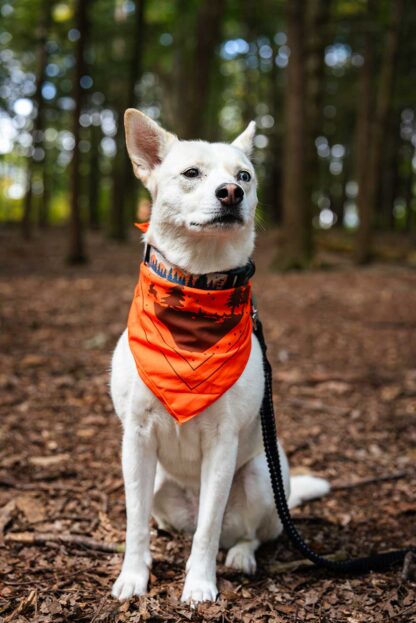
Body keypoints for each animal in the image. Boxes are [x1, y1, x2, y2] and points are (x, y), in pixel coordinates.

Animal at [109, 111, 328, 604]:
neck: (198, 285)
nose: (232, 193)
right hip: (159, 481)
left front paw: (199, 584)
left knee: (247, 534)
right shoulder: (136, 439)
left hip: (263, 478)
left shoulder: (223, 445)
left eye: (244, 176)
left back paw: (241, 556)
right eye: (192, 173)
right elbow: (134, 524)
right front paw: (133, 575)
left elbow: (207, 531)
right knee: (164, 522)